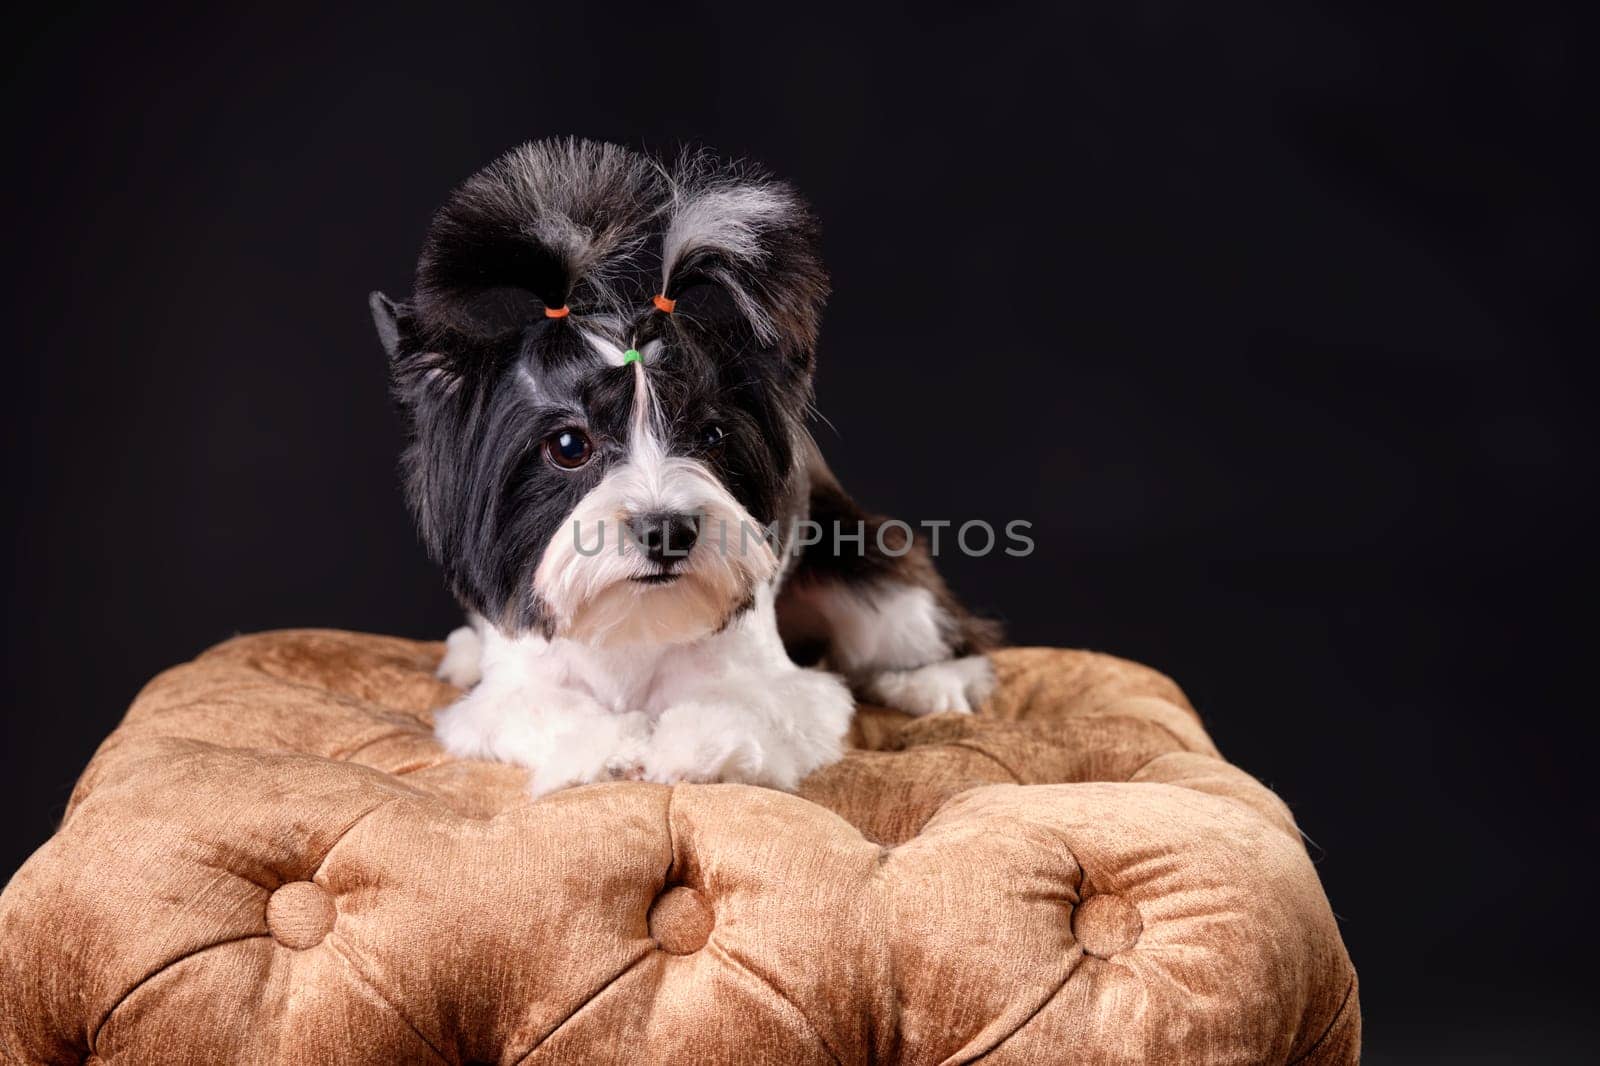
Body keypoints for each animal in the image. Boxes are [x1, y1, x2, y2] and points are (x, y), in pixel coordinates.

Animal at [374, 139, 998, 787]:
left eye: (711, 435)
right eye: (569, 446)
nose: (667, 531)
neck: (634, 624)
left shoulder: (783, 685)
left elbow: (747, 709)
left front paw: (689, 746)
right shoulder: (510, 691)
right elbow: (534, 706)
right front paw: (612, 744)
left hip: (867, 571)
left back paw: (934, 681)